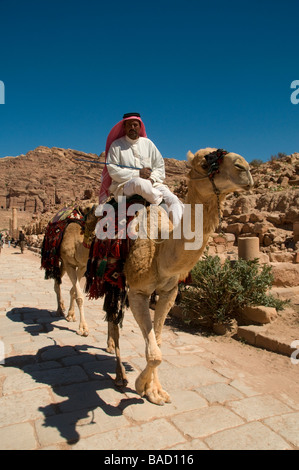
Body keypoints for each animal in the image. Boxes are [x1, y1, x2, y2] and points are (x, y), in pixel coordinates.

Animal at [52, 204, 97, 336]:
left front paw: (71, 315)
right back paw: (59, 310)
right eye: (88, 208)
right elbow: (80, 296)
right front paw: (83, 328)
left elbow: (74, 291)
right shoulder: (69, 264)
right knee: (57, 283)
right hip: (61, 261)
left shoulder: (82, 266)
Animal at [108, 149, 253, 406]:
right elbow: (154, 352)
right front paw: (140, 385)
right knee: (110, 320)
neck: (160, 249)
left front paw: (155, 391)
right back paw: (119, 375)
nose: (244, 168)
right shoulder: (137, 291)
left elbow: (157, 342)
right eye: (205, 162)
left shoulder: (169, 291)